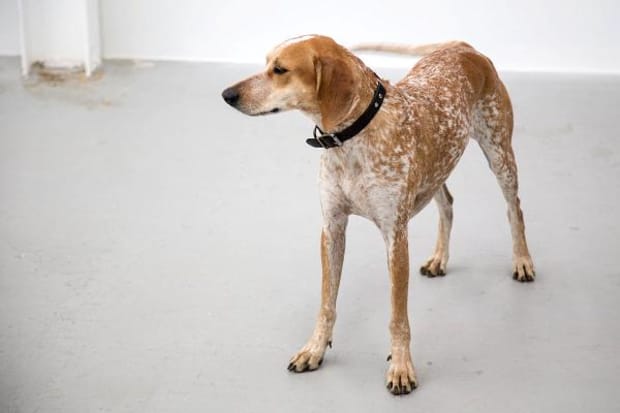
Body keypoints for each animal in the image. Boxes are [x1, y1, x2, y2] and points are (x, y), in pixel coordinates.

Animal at [222, 35, 535, 395]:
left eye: (280, 69)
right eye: (266, 63)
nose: (227, 94)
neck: (352, 138)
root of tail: (462, 47)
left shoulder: (395, 236)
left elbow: (398, 318)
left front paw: (400, 367)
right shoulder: (332, 228)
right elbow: (326, 304)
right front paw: (315, 349)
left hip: (499, 155)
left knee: (514, 209)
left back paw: (522, 261)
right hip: (436, 169)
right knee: (448, 204)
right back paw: (440, 258)